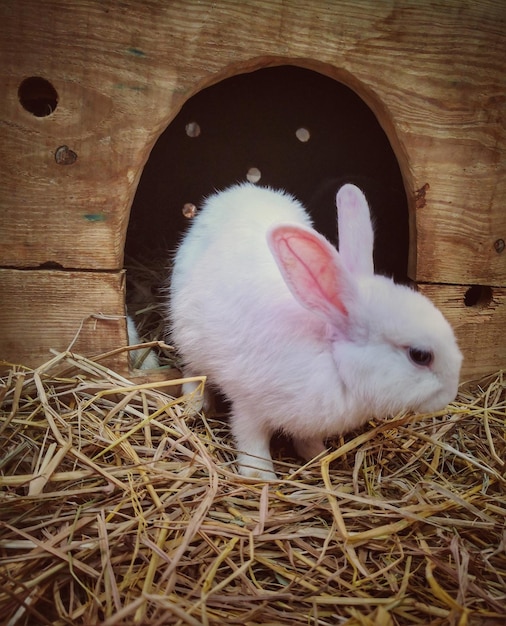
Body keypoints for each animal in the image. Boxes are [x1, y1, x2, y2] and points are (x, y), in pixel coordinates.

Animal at [167, 180, 462, 478]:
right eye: (420, 355)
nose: (450, 394)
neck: (331, 357)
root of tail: (241, 191)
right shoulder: (249, 407)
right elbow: (251, 441)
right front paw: (260, 476)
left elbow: (306, 439)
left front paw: (317, 455)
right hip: (188, 336)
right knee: (193, 371)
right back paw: (194, 404)